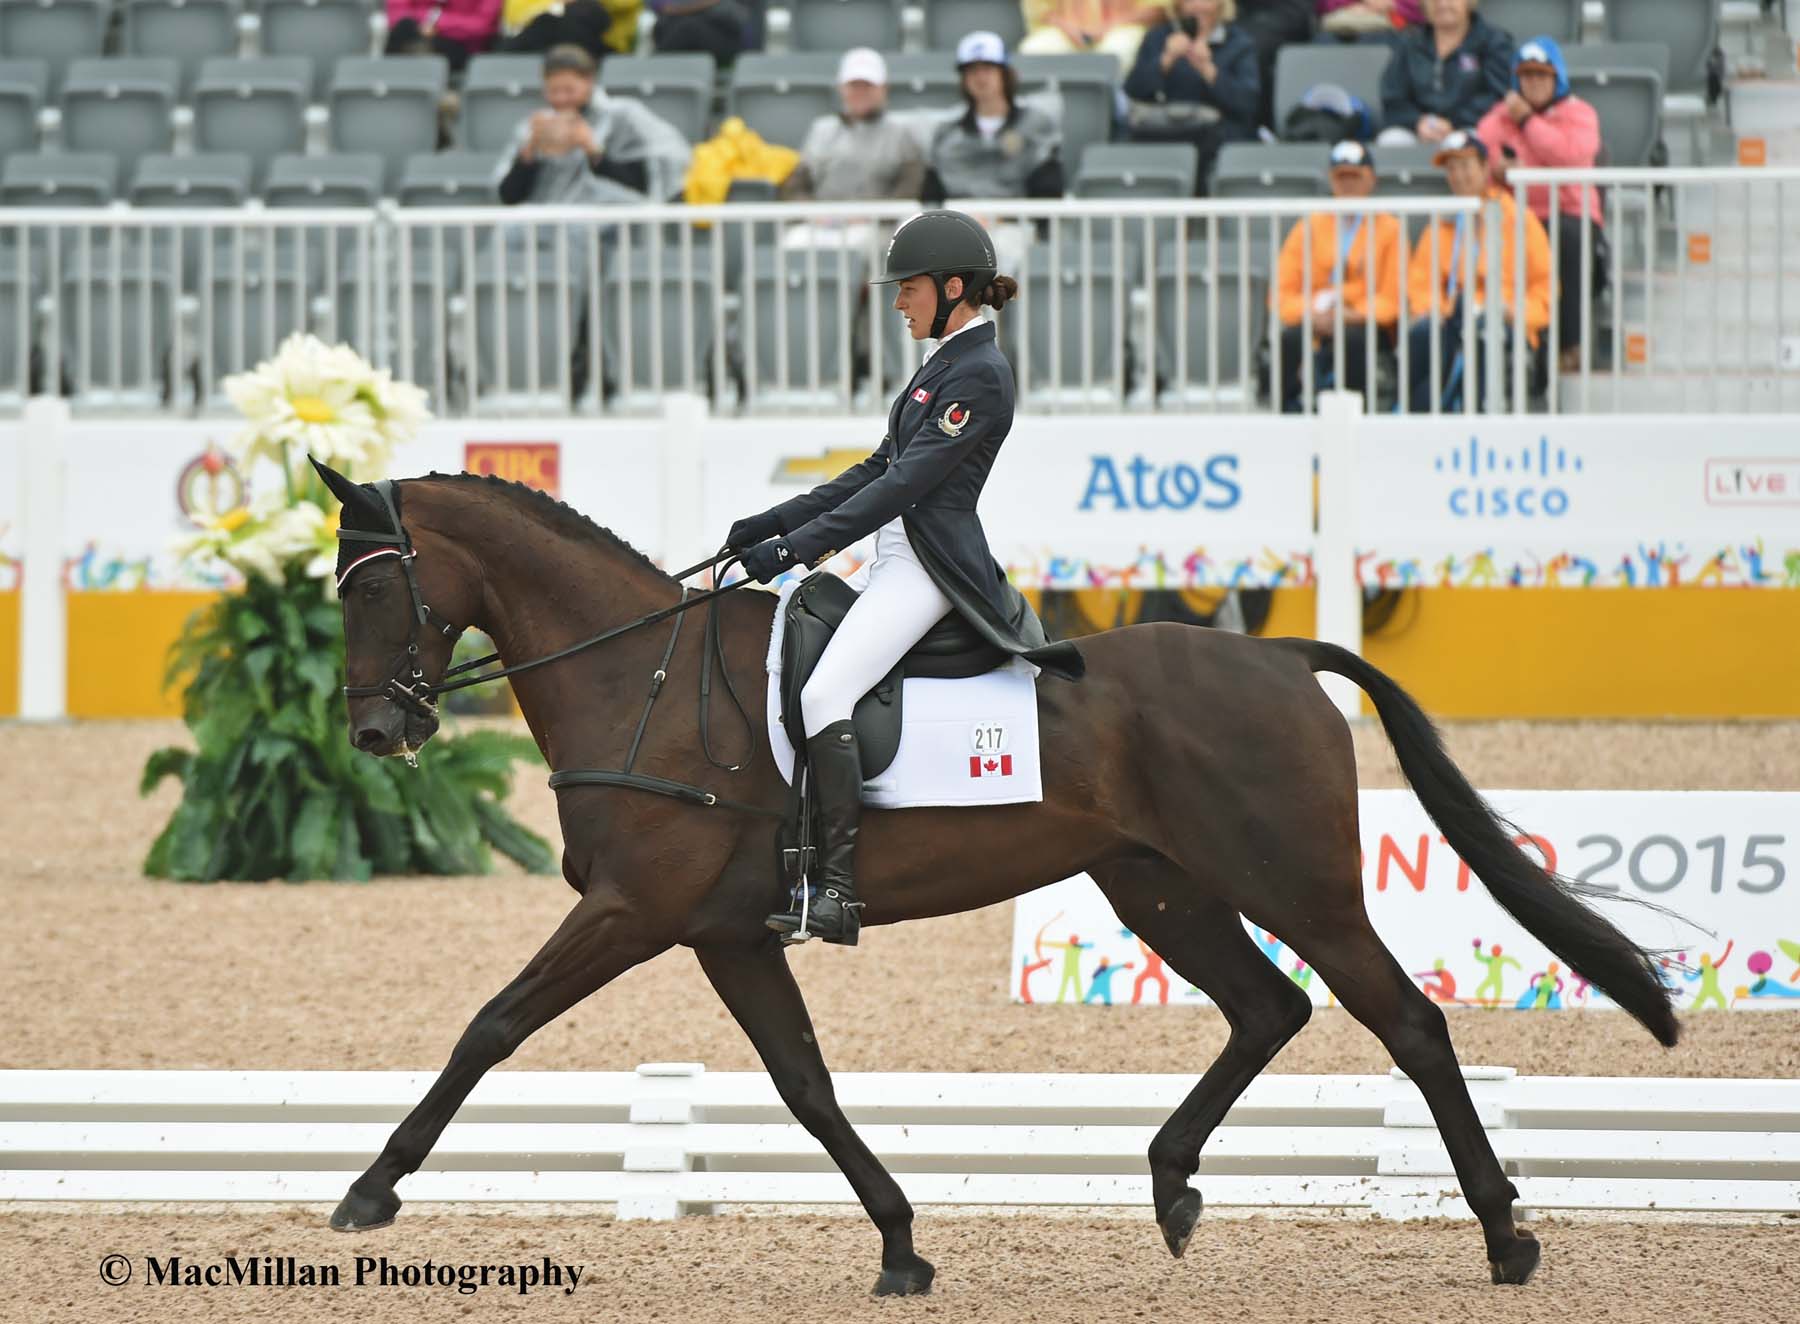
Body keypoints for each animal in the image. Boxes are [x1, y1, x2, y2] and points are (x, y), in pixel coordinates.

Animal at [309, 464, 1670, 1295]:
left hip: (1300, 888)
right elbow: (805, 1083)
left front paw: (369, 1192)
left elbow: (490, 1026)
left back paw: (1506, 1237)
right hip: (1157, 885)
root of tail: (1283, 655)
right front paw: (903, 1246)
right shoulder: (726, 934)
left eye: (375, 586)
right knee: (1267, 1008)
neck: (639, 678)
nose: (375, 732)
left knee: (1408, 1022)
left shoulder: (633, 912)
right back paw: (1172, 1187)